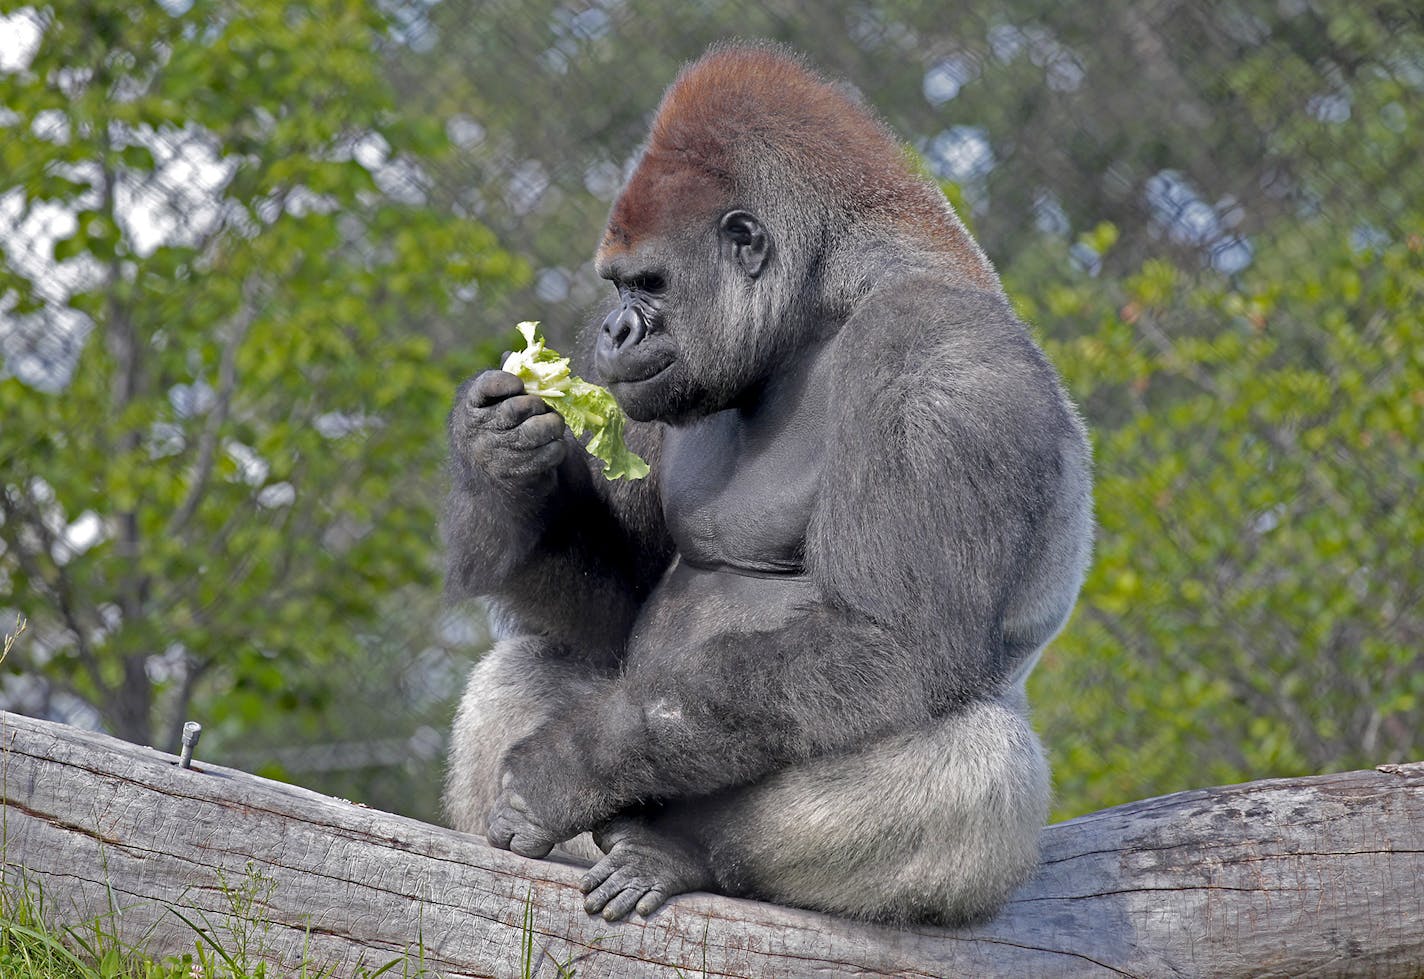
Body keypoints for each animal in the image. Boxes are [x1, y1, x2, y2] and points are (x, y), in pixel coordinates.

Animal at [441, 43, 1087, 927]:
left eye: (648, 283)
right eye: (617, 286)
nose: (612, 330)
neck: (819, 306)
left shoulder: (937, 354)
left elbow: (890, 643)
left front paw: (568, 765)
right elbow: (618, 601)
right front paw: (502, 460)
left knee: (979, 757)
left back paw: (683, 854)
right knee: (526, 663)